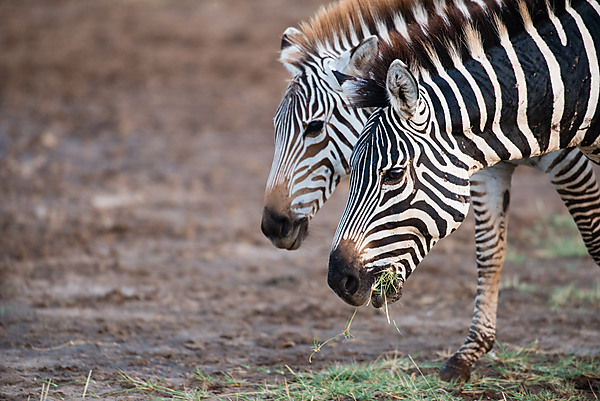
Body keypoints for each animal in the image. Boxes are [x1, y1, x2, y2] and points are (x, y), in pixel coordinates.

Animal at [330, 0, 600, 380]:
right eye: (351, 171)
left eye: (394, 174)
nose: (338, 280)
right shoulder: (491, 165)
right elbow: (489, 252)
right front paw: (467, 354)